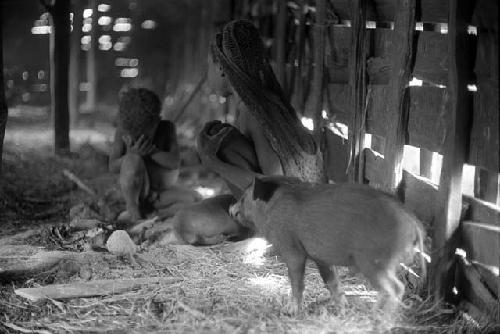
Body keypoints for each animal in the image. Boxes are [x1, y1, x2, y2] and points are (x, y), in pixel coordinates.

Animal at [229, 176, 424, 314]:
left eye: (244, 198)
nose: (231, 209)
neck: (270, 208)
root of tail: (413, 222)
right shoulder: (321, 258)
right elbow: (332, 282)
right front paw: (343, 309)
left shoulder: (292, 250)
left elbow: (296, 282)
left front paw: (290, 311)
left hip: (375, 263)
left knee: (396, 288)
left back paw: (377, 318)